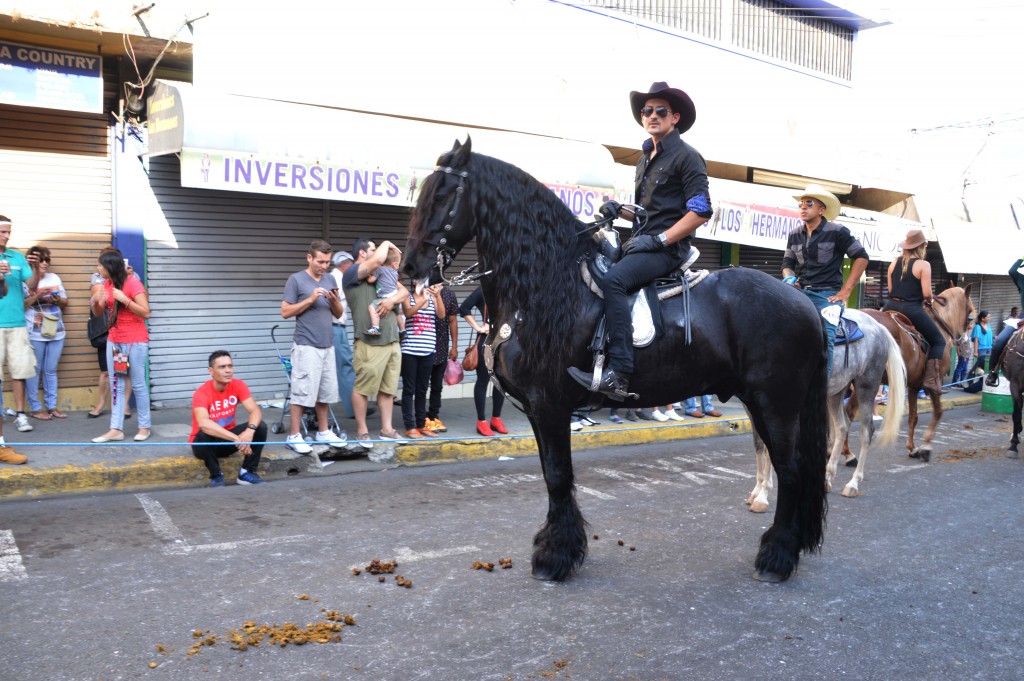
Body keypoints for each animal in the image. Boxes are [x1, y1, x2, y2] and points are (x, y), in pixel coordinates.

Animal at [403, 137, 827, 577]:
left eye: (443, 195)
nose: (409, 267)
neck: (547, 289)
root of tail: (803, 301)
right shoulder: (539, 409)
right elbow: (551, 474)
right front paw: (558, 546)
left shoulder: (550, 405)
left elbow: (558, 475)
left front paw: (556, 556)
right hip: (762, 402)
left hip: (776, 403)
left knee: (791, 470)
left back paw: (777, 557)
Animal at [847, 284, 974, 458]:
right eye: (970, 315)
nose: (966, 347)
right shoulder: (934, 383)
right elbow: (938, 412)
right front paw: (926, 446)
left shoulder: (914, 385)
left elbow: (913, 417)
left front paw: (912, 447)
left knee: (846, 413)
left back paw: (845, 453)